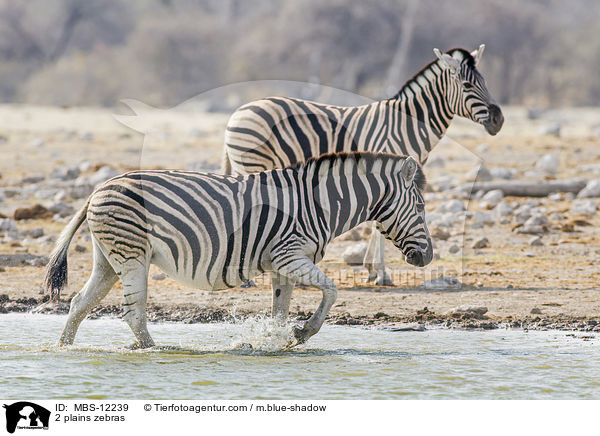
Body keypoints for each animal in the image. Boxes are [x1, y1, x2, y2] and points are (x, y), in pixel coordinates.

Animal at [44, 152, 434, 350]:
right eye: (420, 206)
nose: (427, 257)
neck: (318, 204)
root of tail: (99, 188)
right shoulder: (289, 255)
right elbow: (332, 290)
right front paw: (303, 332)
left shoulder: (282, 265)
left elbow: (280, 310)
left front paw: (277, 341)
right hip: (132, 256)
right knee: (133, 313)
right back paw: (155, 351)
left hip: (109, 260)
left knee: (80, 303)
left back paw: (64, 348)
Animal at [223, 44, 504, 286]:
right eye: (467, 85)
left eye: (486, 82)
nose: (498, 120)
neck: (407, 124)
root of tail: (238, 111)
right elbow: (380, 225)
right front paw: (380, 273)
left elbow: (378, 222)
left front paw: (371, 270)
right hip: (252, 163)